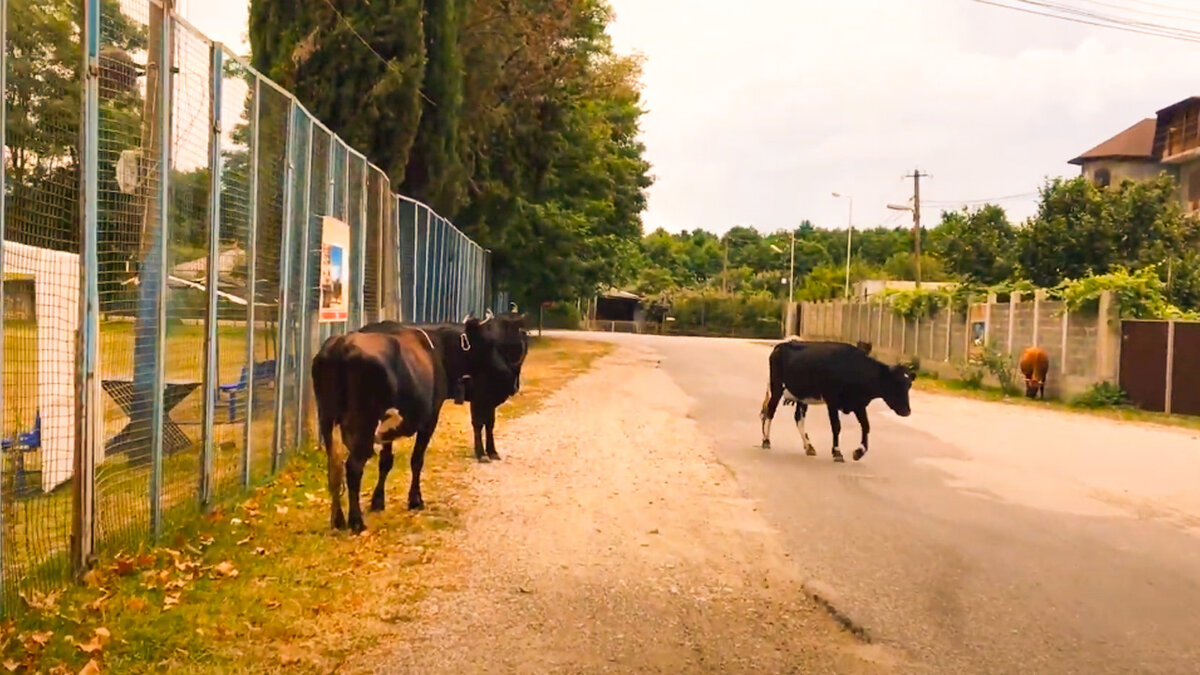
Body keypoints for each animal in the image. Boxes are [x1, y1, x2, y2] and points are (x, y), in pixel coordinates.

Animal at [309, 317, 511, 530]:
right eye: (488, 343)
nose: (506, 372)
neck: (439, 347)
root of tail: (341, 344)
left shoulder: (388, 428)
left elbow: (386, 462)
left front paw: (377, 501)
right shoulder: (429, 419)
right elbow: (417, 460)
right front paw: (415, 500)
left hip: (327, 418)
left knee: (334, 467)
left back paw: (337, 520)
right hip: (363, 422)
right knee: (353, 467)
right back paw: (356, 521)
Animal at [758, 338, 916, 458]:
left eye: (909, 385)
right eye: (896, 384)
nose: (907, 411)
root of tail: (782, 344)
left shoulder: (858, 403)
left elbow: (866, 425)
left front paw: (859, 452)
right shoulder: (832, 401)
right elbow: (836, 426)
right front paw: (837, 452)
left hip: (802, 396)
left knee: (798, 419)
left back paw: (809, 447)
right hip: (776, 388)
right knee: (770, 411)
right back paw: (766, 440)